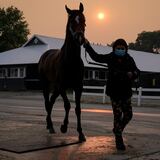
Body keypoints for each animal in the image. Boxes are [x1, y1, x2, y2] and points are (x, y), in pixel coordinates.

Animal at [38, 2, 85, 141]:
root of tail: (45, 55)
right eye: (71, 21)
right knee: (47, 102)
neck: (71, 60)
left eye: (84, 20)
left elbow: (78, 108)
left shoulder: (78, 87)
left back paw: (50, 125)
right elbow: (67, 105)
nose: (80, 38)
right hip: (47, 85)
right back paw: (50, 125)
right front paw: (64, 127)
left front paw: (81, 133)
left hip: (56, 88)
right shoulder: (62, 86)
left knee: (51, 102)